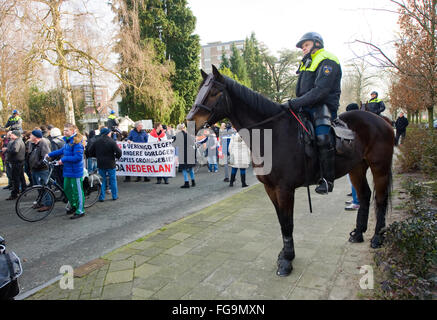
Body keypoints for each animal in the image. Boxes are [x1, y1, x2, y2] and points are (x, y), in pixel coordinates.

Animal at [186, 66, 394, 276]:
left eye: (214, 92)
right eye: (200, 90)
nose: (190, 122)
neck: (272, 133)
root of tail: (383, 121)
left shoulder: (284, 189)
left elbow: (287, 223)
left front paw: (287, 260)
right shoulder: (270, 188)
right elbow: (281, 221)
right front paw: (284, 255)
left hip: (380, 167)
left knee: (380, 199)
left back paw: (377, 238)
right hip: (356, 168)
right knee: (365, 195)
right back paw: (358, 233)